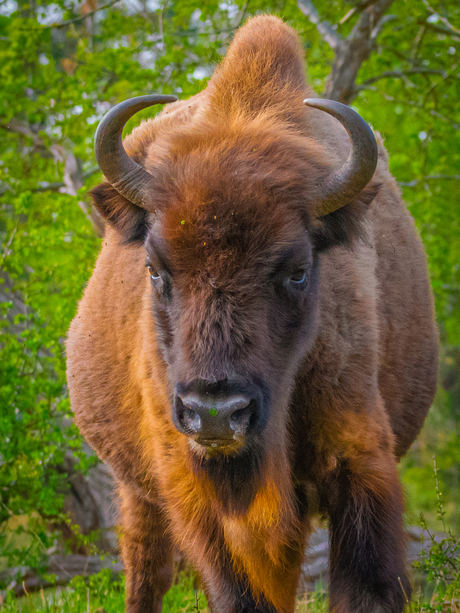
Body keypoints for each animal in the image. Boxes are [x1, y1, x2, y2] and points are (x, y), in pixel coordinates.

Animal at [67, 13, 438, 612]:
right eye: (154, 268)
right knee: (146, 570)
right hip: (136, 491)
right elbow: (237, 591)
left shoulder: (360, 461)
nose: (216, 414)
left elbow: (368, 585)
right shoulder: (194, 491)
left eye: (298, 270)